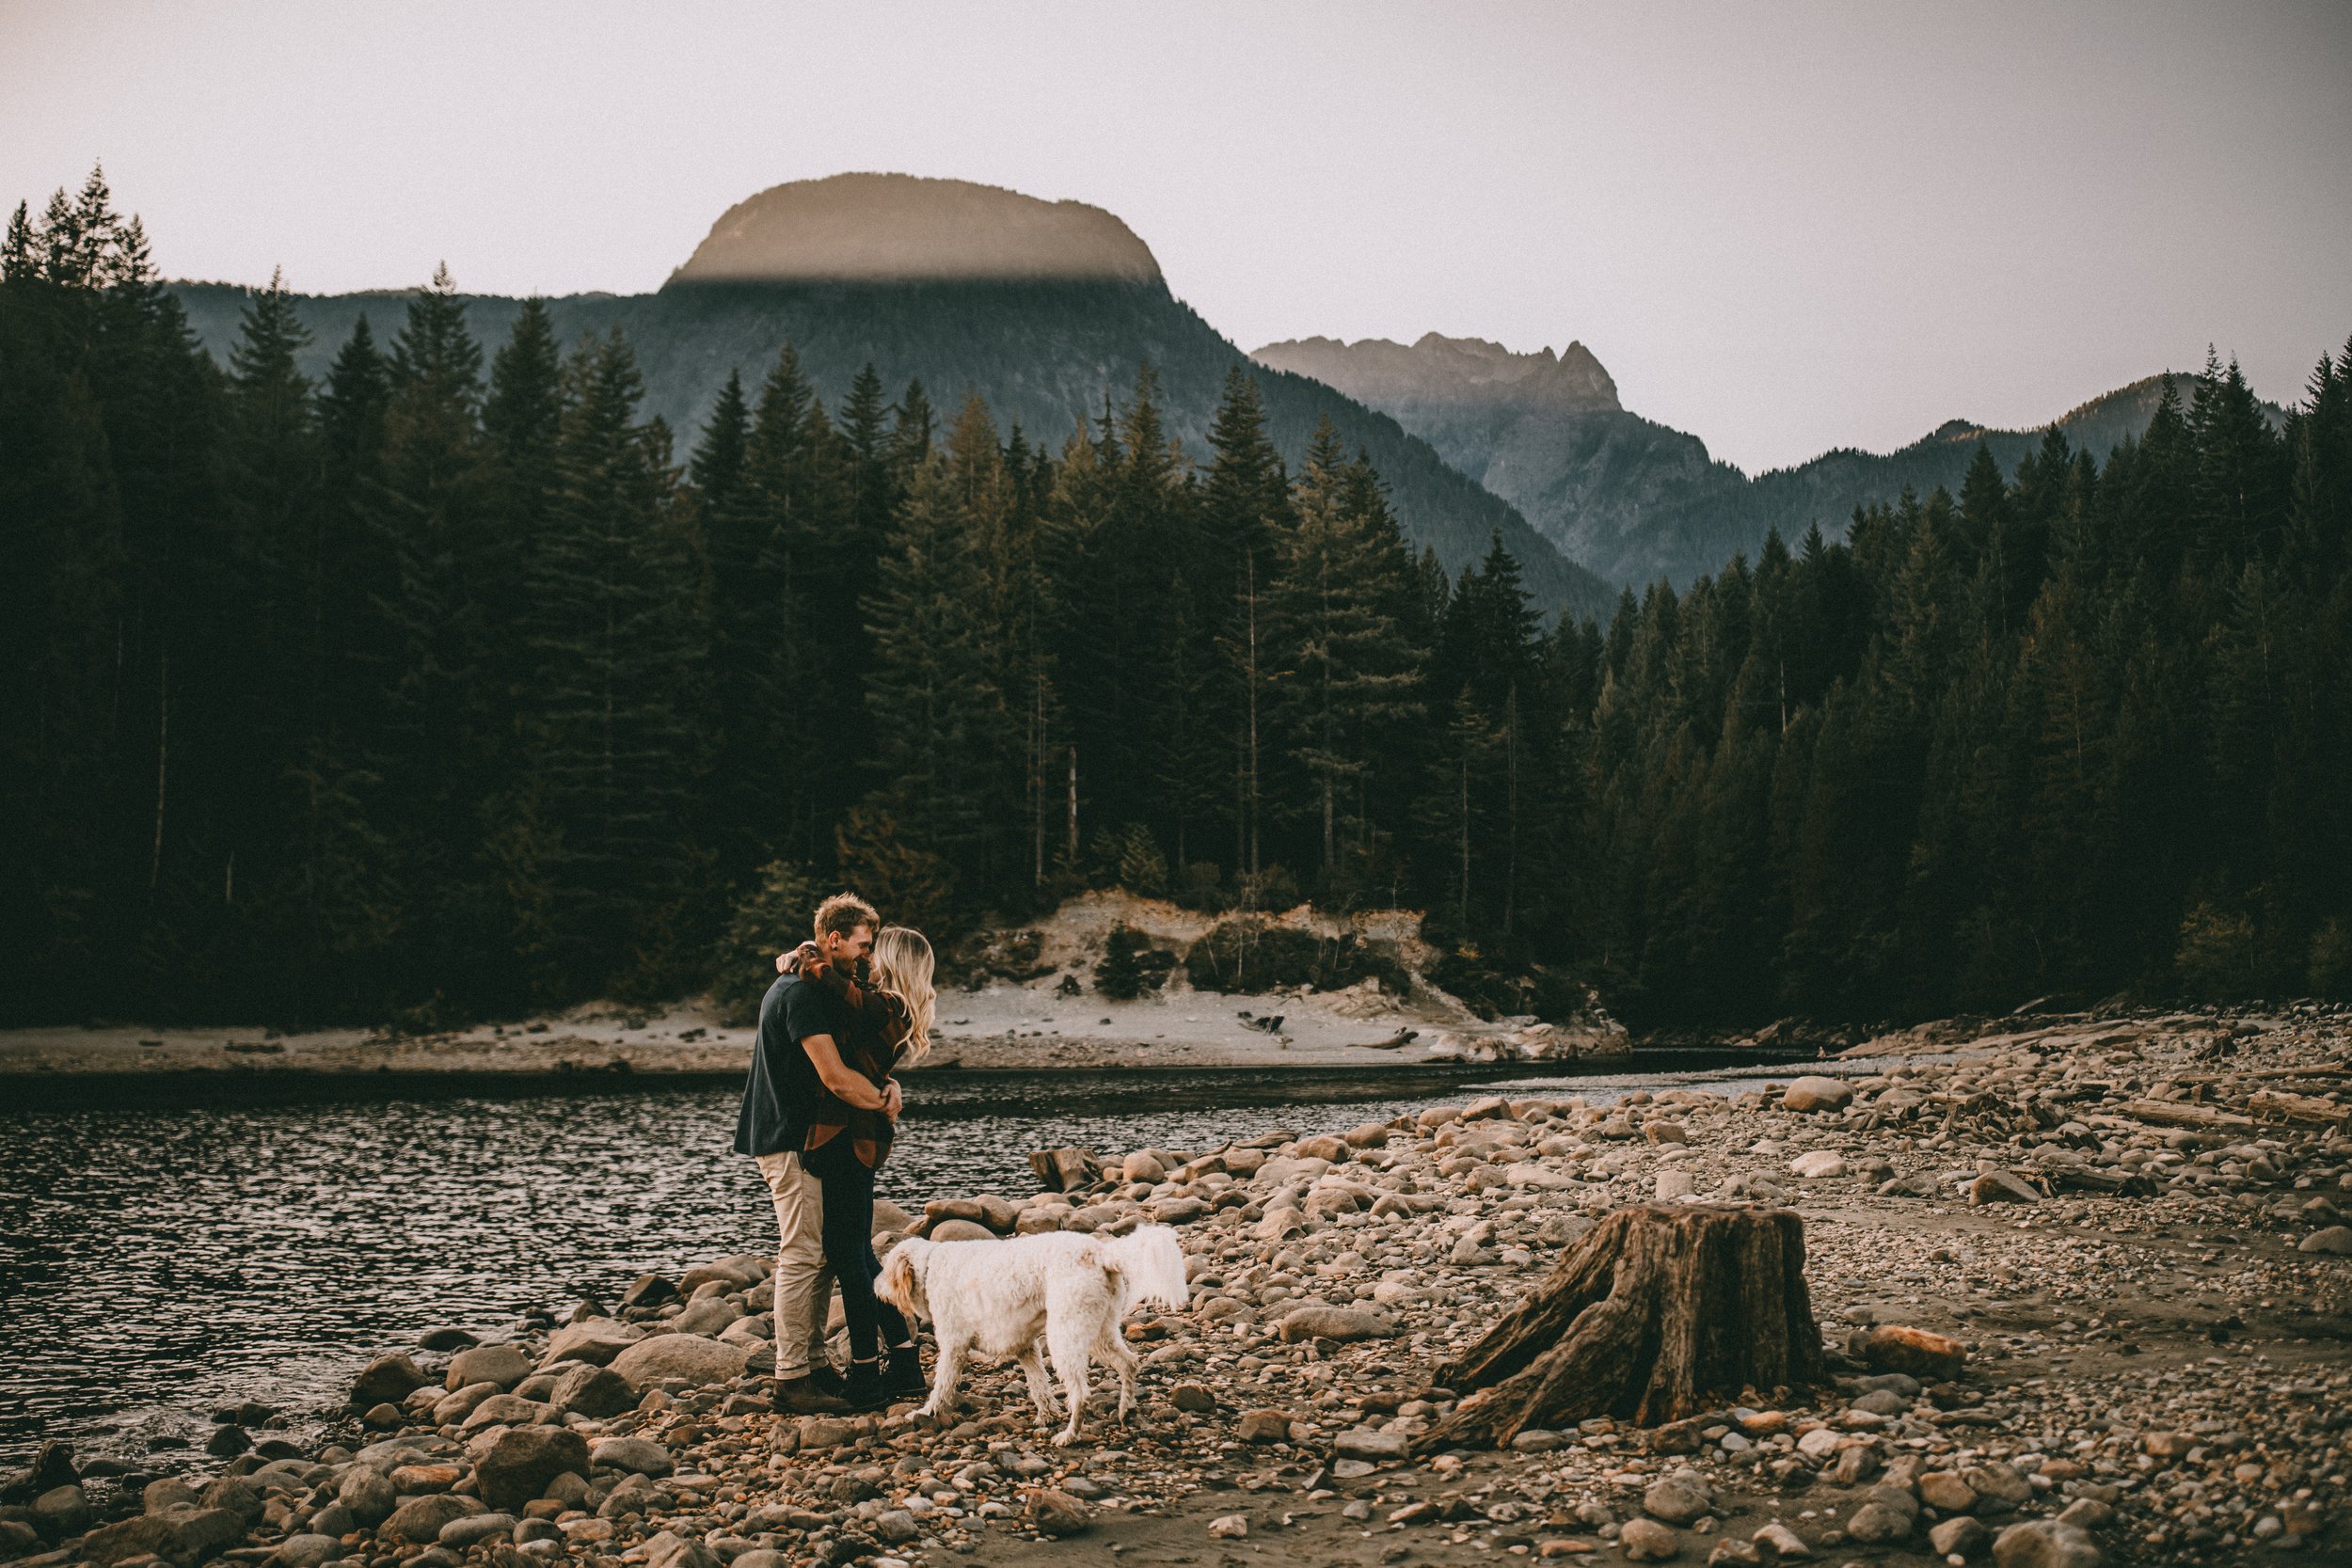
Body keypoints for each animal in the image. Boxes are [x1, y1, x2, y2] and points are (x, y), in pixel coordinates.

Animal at [875, 1222, 1185, 1448]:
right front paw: (1047, 1415)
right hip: (1100, 1331)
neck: (930, 1267)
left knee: (1082, 1394)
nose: (875, 1287)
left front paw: (926, 1412)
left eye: (885, 1268)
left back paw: (1070, 1435)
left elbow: (941, 1386)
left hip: (1065, 1336)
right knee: (1129, 1363)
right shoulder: (1026, 1347)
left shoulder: (953, 1346)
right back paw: (1125, 1409)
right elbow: (1039, 1386)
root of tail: (1099, 1254)